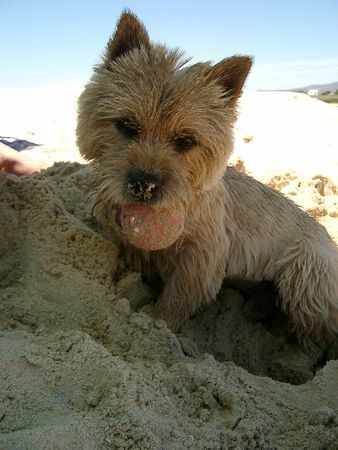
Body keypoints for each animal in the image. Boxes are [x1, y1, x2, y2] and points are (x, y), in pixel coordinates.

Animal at [76, 9, 338, 342]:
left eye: (186, 141)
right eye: (126, 125)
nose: (143, 185)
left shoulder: (203, 254)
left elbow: (177, 297)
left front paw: (156, 324)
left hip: (306, 271)